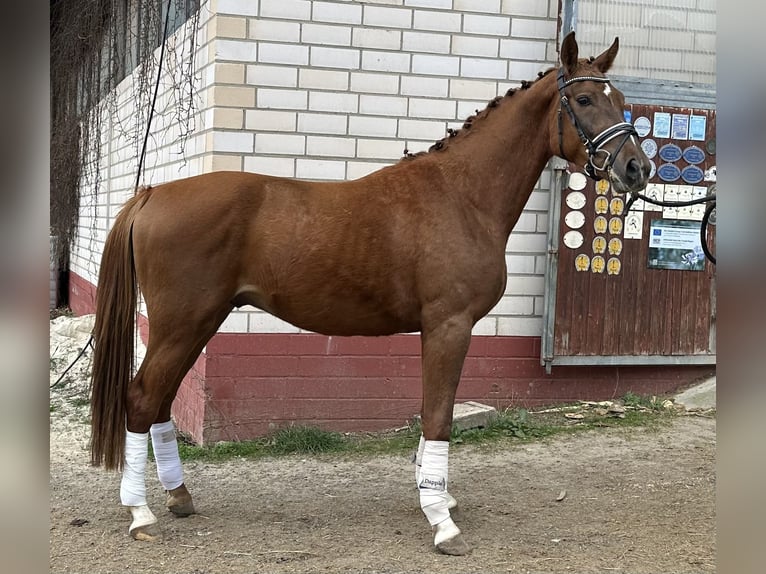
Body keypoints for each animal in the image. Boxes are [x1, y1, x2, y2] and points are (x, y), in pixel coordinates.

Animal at [93, 33, 652, 556]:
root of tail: (152, 194)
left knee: (160, 401)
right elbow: (438, 416)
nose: (637, 169)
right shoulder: (449, 325)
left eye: (621, 98)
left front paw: (436, 496)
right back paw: (140, 513)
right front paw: (441, 521)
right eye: (583, 100)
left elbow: (432, 413)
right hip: (183, 323)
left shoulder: (439, 329)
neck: (462, 195)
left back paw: (178, 496)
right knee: (141, 398)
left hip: (198, 324)